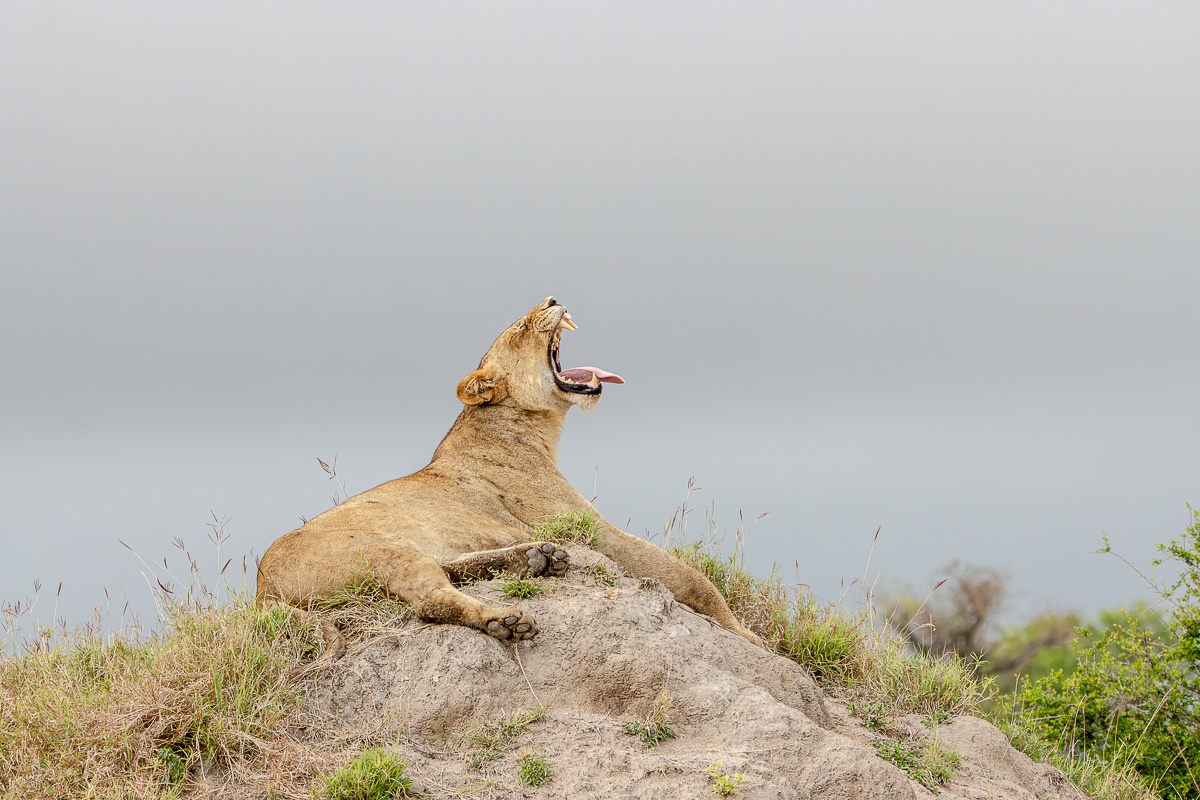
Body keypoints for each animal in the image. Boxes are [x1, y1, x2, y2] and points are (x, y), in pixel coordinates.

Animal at [256, 296, 761, 651]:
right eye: (519, 329)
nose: (553, 297)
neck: (534, 428)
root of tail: (260, 589)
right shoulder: (588, 528)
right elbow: (687, 576)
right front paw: (747, 637)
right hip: (384, 554)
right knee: (431, 600)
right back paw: (505, 618)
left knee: (449, 569)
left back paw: (538, 558)